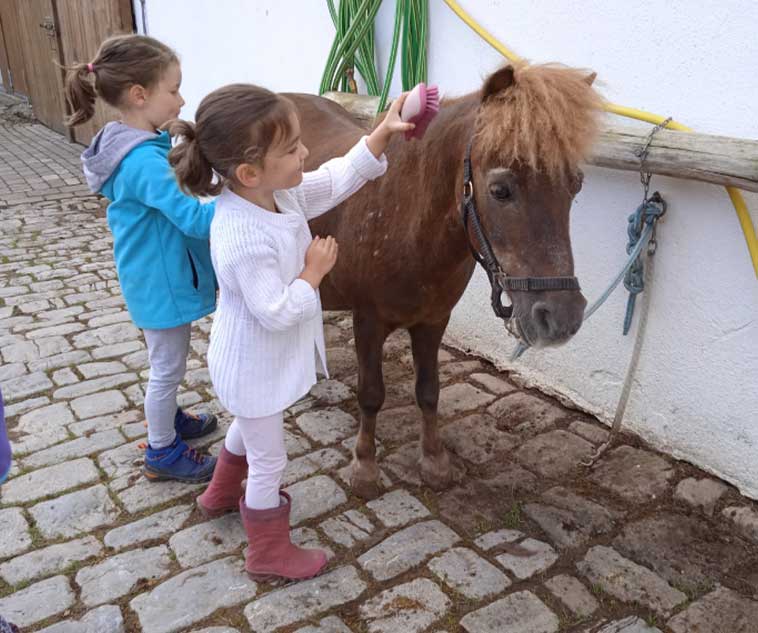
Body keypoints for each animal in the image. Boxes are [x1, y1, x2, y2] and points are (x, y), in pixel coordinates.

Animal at [288, 62, 601, 499]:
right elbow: (371, 395)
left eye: (575, 186)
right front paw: (365, 467)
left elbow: (429, 392)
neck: (406, 216)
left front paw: (434, 461)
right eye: (500, 190)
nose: (562, 317)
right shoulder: (367, 321)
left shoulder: (434, 321)